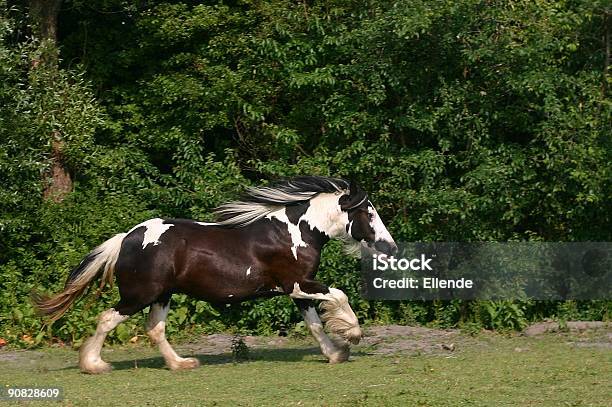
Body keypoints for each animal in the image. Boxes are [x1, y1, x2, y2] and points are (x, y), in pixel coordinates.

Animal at [34, 177, 396, 374]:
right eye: (369, 213)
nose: (390, 247)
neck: (297, 232)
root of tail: (127, 238)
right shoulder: (297, 284)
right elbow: (340, 296)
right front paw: (352, 335)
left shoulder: (297, 291)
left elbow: (315, 325)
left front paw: (335, 353)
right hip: (140, 294)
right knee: (108, 318)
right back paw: (94, 364)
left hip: (163, 295)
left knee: (155, 328)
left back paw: (182, 364)